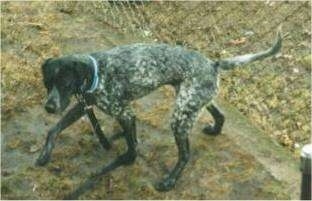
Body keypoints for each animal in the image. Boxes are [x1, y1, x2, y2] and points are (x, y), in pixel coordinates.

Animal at [36, 32, 280, 196]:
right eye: (48, 83)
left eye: (66, 84)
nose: (49, 107)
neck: (98, 72)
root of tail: (213, 63)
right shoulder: (83, 105)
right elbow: (54, 129)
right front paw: (45, 154)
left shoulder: (125, 114)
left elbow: (132, 145)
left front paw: (126, 160)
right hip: (192, 101)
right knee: (220, 115)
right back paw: (214, 130)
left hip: (180, 118)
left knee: (185, 154)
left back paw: (170, 181)